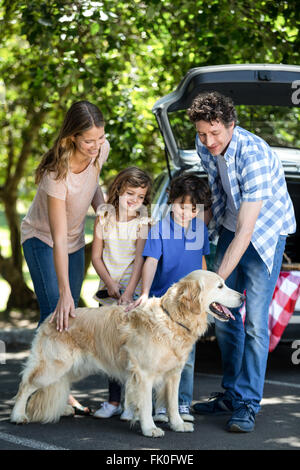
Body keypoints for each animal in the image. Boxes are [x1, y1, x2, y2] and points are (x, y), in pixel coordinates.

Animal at [11, 270, 244, 438]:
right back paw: (18, 415)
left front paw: (178, 424)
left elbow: (173, 403)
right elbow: (147, 404)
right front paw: (150, 429)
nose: (243, 296)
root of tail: (53, 316)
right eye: (220, 286)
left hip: (72, 368)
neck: (171, 319)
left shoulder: (173, 374)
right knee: (25, 386)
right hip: (53, 366)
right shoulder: (144, 374)